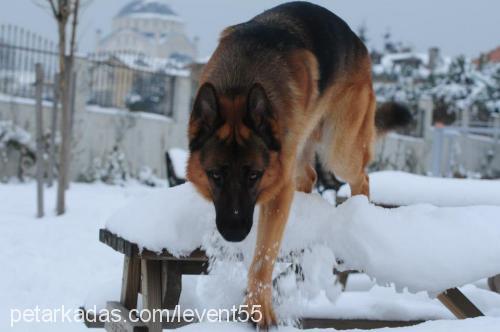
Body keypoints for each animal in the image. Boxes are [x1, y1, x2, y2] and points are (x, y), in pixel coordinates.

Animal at [188, 0, 410, 326]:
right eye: (215, 175)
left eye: (254, 175)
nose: (234, 233)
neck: (239, 85)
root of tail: (358, 43)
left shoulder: (278, 187)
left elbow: (262, 257)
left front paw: (259, 307)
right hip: (303, 149)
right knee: (309, 176)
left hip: (339, 150)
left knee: (361, 177)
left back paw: (359, 209)